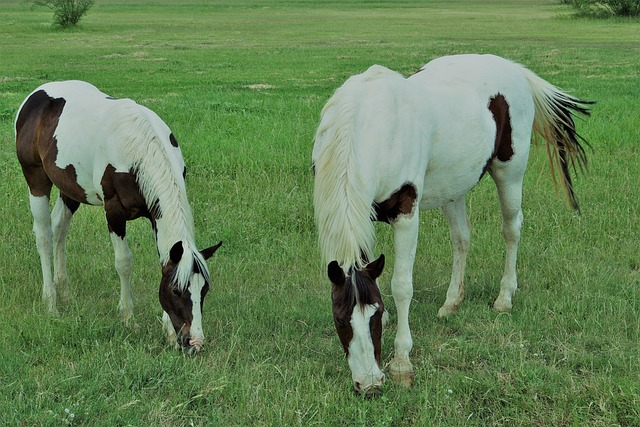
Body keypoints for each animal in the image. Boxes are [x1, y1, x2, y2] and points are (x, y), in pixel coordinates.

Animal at [15, 80, 222, 354]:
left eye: (204, 289)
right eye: (176, 291)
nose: (194, 343)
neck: (139, 147)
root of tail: (36, 95)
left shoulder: (155, 215)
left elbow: (164, 259)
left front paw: (167, 330)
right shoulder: (113, 212)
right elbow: (124, 262)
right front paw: (128, 318)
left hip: (70, 189)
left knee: (59, 229)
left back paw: (65, 293)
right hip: (36, 179)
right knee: (44, 236)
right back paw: (51, 302)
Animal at [312, 54, 592, 394]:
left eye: (373, 315)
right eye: (341, 320)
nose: (369, 384)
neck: (368, 124)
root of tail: (514, 68)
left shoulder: (406, 214)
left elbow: (402, 285)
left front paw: (402, 362)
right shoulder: (364, 214)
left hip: (510, 173)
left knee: (511, 229)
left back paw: (504, 297)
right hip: (453, 189)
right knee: (462, 239)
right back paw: (452, 302)